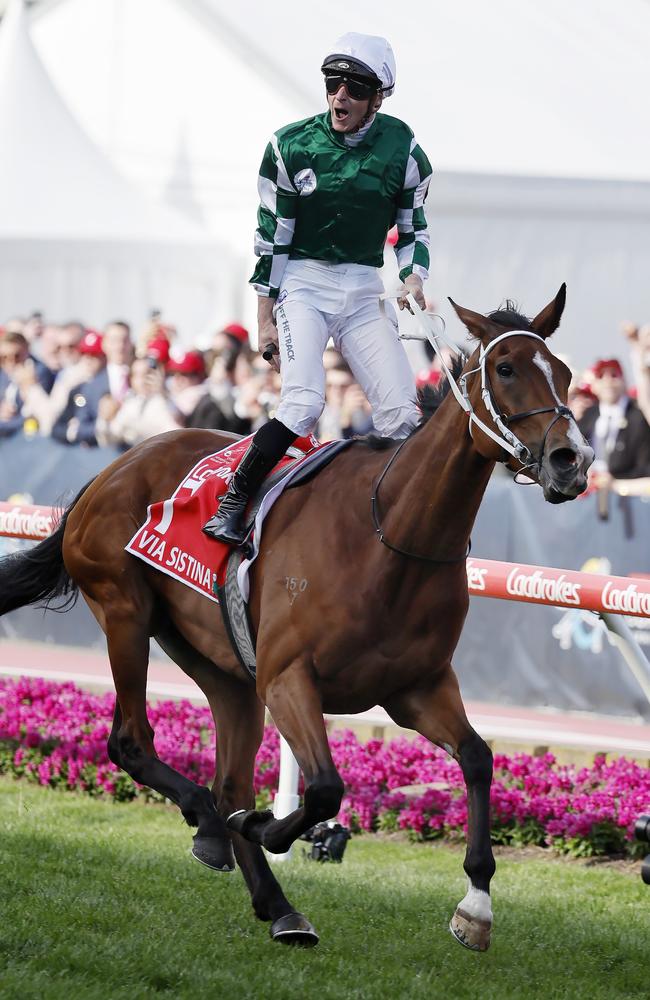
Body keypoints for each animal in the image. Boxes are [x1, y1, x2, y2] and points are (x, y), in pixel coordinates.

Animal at [0, 288, 588, 952]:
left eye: (564, 372)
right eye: (506, 368)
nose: (572, 459)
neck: (391, 536)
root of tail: (114, 466)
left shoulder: (417, 687)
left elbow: (478, 758)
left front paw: (476, 906)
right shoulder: (288, 678)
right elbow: (324, 787)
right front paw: (268, 828)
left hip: (224, 670)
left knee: (229, 779)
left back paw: (275, 902)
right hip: (125, 611)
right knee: (132, 742)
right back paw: (210, 823)